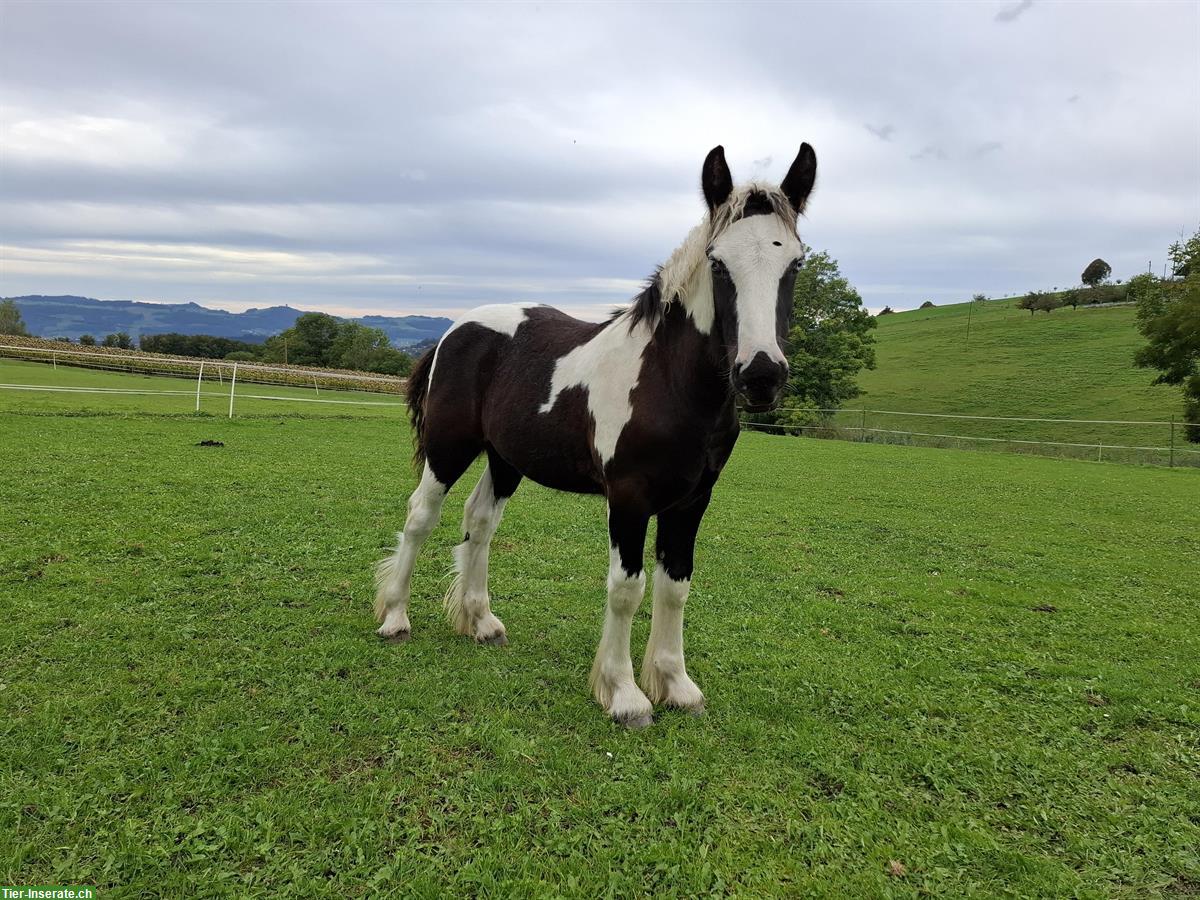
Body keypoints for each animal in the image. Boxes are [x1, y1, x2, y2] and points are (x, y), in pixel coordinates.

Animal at [376, 144, 816, 729]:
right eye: (719, 261)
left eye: (795, 261)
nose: (761, 374)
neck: (668, 382)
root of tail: (456, 329)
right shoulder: (628, 499)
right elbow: (627, 588)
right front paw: (625, 694)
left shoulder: (692, 501)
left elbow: (676, 586)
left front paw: (675, 685)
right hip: (449, 449)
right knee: (420, 517)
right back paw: (395, 617)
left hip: (505, 459)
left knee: (481, 521)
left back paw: (481, 621)